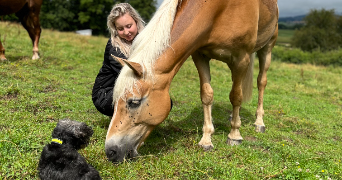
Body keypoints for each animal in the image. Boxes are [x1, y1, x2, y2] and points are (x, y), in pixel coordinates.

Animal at [104, 0, 278, 162]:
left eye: (134, 102)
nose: (110, 151)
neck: (220, 9)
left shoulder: (241, 58)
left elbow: (236, 96)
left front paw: (234, 135)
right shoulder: (200, 55)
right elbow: (207, 95)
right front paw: (206, 140)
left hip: (267, 48)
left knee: (260, 82)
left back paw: (259, 123)